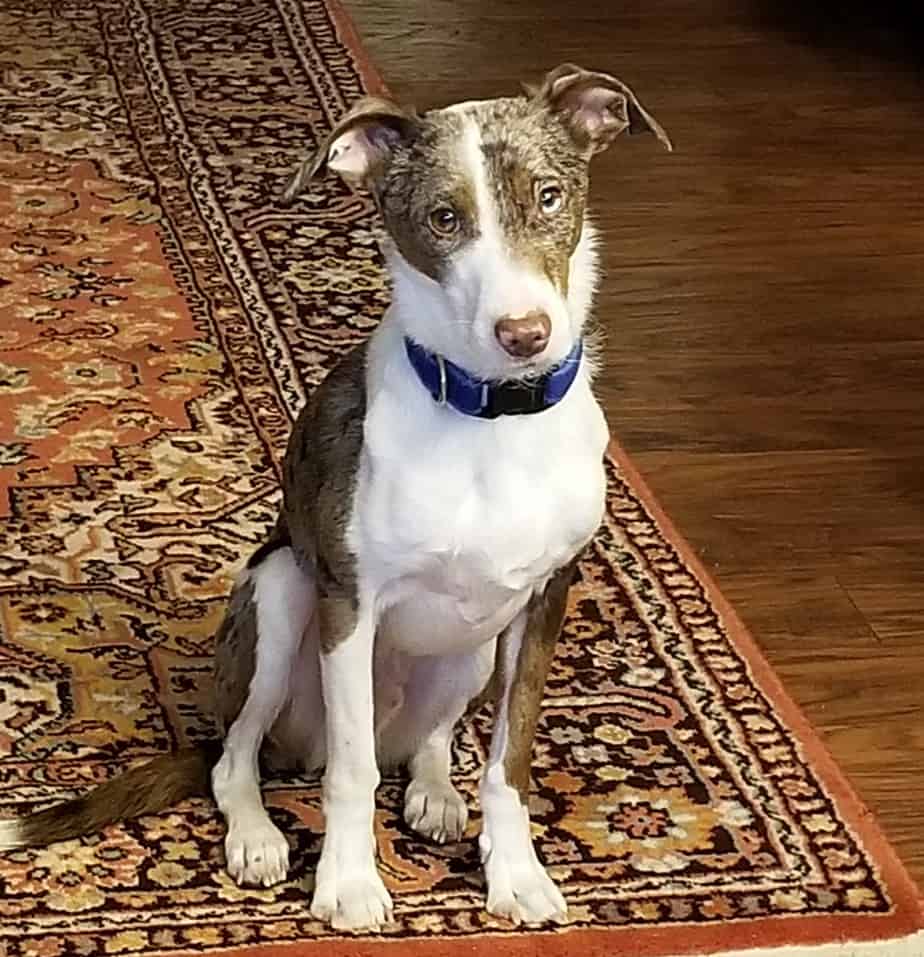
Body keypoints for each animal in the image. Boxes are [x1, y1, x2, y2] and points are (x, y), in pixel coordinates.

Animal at [0, 63, 668, 928]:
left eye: (550, 196)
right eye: (443, 218)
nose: (525, 334)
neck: (490, 413)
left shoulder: (547, 598)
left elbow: (508, 760)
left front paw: (515, 874)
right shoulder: (350, 601)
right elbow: (352, 774)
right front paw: (350, 884)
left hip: (472, 647)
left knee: (427, 741)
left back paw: (434, 792)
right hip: (281, 595)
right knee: (241, 758)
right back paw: (257, 836)